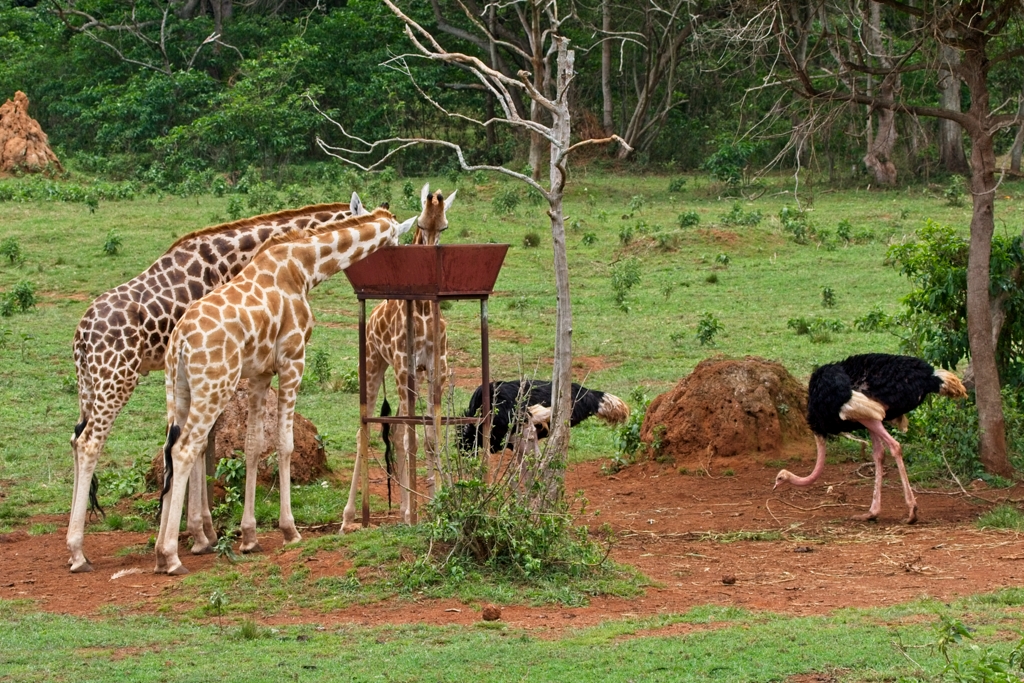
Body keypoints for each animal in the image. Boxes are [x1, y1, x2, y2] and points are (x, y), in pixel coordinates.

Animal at [68, 196, 366, 573]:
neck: (232, 258)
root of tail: (82, 333)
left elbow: (201, 447)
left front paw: (201, 532)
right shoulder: (217, 368)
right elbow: (199, 448)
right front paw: (202, 534)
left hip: (88, 383)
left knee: (75, 439)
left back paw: (74, 546)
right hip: (117, 377)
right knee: (91, 443)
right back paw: (78, 553)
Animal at [154, 205, 411, 573]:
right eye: (397, 244)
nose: (397, 288)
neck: (303, 267)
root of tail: (181, 340)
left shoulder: (260, 373)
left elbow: (252, 446)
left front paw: (249, 537)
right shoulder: (293, 359)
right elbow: (285, 444)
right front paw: (290, 530)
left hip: (178, 389)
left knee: (170, 449)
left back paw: (166, 551)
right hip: (214, 385)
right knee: (185, 449)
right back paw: (172, 556)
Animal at [344, 184, 456, 532]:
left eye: (443, 227)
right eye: (420, 224)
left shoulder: (436, 369)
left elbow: (430, 437)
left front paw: (437, 502)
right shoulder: (402, 366)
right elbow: (411, 439)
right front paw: (413, 513)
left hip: (409, 374)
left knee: (395, 431)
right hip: (374, 365)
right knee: (366, 431)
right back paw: (349, 516)